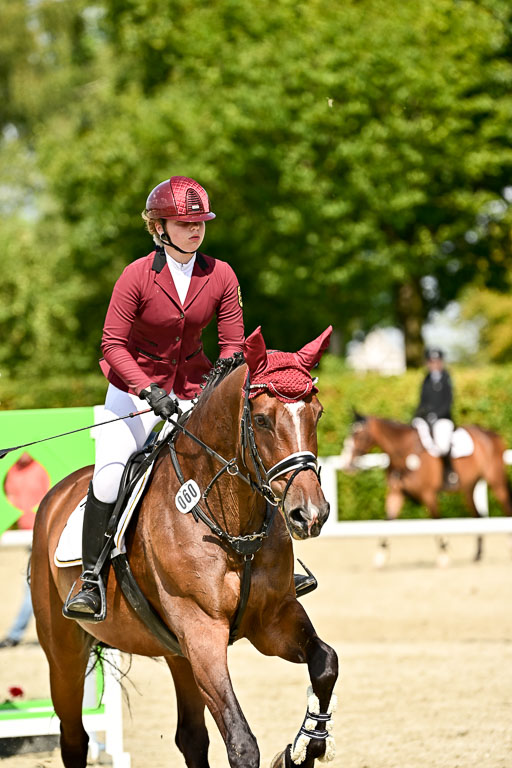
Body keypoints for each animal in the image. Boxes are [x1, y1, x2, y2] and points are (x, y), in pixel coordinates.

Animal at [30, 325, 339, 768]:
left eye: (318, 414)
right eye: (261, 419)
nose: (310, 514)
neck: (231, 521)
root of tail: (56, 495)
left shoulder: (272, 621)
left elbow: (326, 662)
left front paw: (305, 745)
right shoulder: (201, 631)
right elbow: (242, 744)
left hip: (176, 651)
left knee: (191, 737)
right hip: (65, 652)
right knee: (74, 736)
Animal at [340, 411, 512, 565]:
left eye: (359, 436)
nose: (346, 464)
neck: (405, 454)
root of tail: (492, 434)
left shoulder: (429, 495)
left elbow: (436, 520)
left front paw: (444, 554)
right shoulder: (396, 494)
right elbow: (388, 521)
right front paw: (380, 557)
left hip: (496, 482)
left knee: (506, 508)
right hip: (469, 489)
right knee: (478, 516)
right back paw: (477, 555)